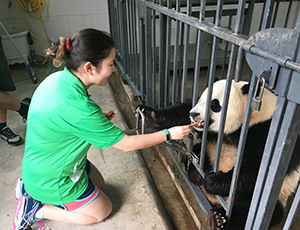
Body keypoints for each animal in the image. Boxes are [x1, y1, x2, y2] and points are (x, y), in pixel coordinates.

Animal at [137, 79, 300, 230]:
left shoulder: (269, 133)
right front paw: (151, 114)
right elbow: (182, 112)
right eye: (201, 100)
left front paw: (214, 181)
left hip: (269, 197)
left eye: (214, 104)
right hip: (209, 151)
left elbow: (259, 169)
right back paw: (197, 173)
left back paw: (217, 219)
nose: (194, 114)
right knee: (198, 151)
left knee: (252, 212)